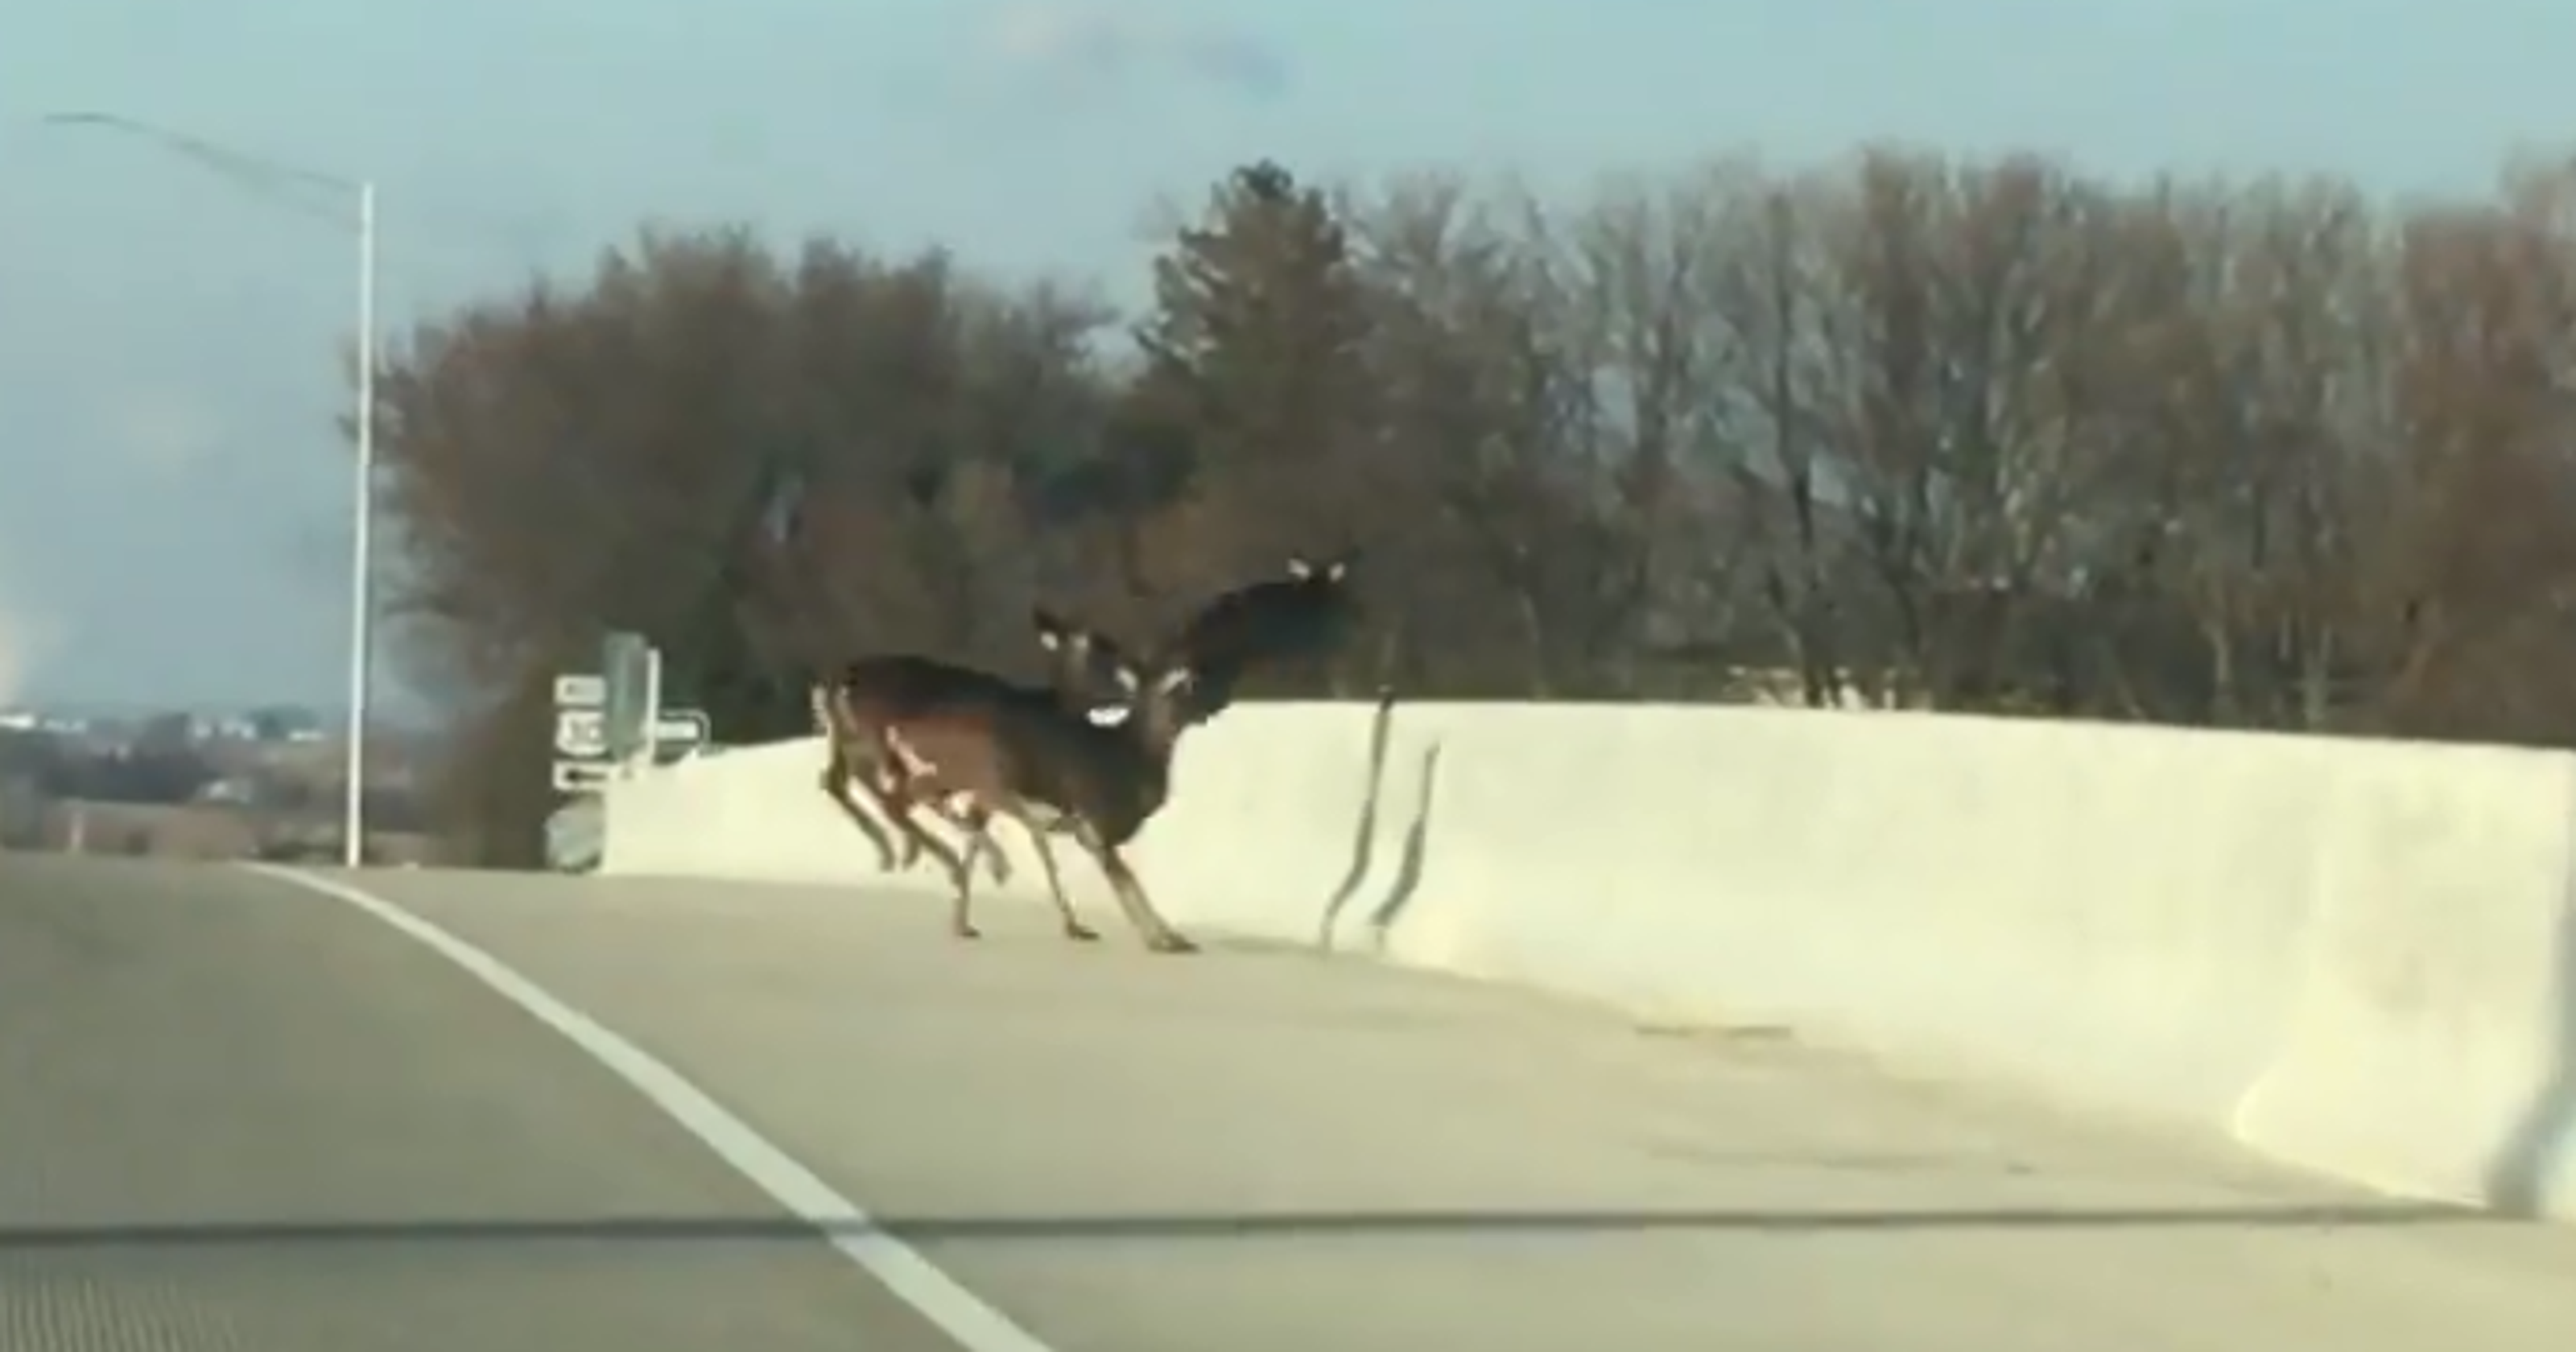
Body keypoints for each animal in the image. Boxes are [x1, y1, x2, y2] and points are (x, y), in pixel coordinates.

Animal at [808, 608, 1133, 888]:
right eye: (1097, 644)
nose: (1128, 677)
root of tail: (837, 681)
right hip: (876, 746)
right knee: (885, 797)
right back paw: (940, 860)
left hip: (853, 743)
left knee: (839, 782)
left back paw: (897, 855)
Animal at [872, 646, 1208, 953]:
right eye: (1155, 688)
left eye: (1178, 689)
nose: (1190, 679)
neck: (1129, 757)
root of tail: (900, 728)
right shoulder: (1093, 824)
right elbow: (1127, 881)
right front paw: (1162, 940)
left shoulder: (1088, 828)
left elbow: (1123, 878)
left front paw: (1173, 938)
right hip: (980, 771)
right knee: (915, 799)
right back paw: (996, 867)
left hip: (968, 784)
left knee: (936, 812)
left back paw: (966, 917)